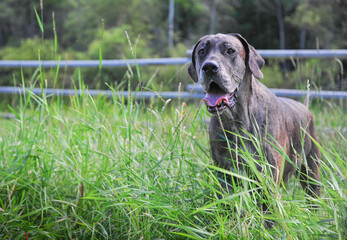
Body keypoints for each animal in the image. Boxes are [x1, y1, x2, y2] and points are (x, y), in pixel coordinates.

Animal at [189, 33, 322, 212]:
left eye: (230, 50)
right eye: (201, 51)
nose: (209, 67)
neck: (238, 119)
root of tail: (306, 108)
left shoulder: (268, 178)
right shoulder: (224, 176)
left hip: (311, 172)